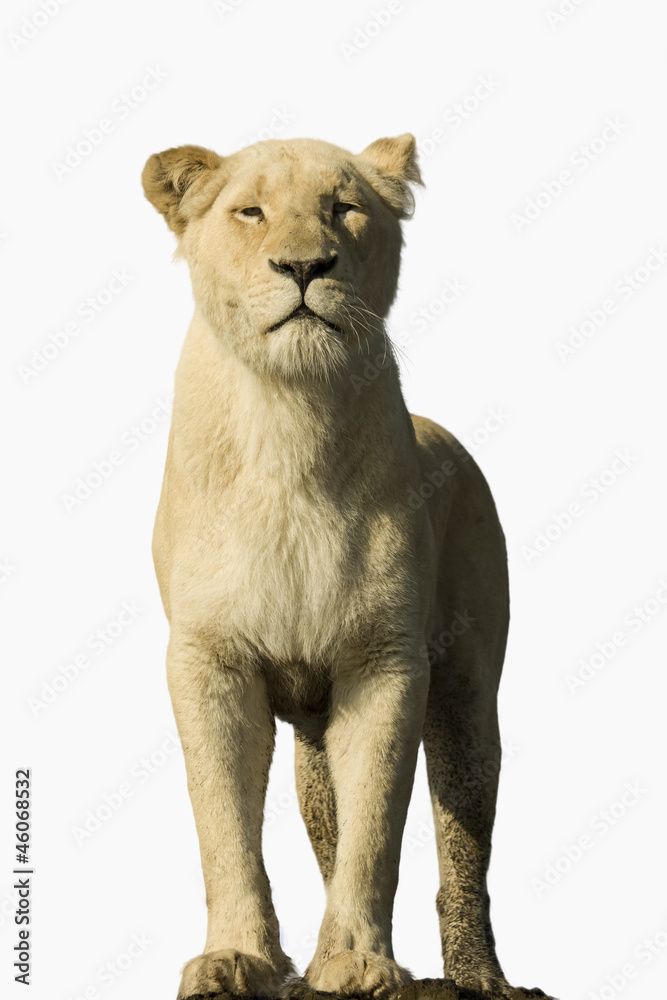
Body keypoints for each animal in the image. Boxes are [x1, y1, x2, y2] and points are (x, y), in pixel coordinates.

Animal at [142, 134, 554, 1000]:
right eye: (251, 211)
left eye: (344, 208)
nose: (305, 266)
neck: (289, 419)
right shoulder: (207, 658)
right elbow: (223, 823)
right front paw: (236, 958)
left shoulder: (385, 661)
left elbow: (378, 829)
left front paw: (360, 963)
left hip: (468, 698)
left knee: (463, 851)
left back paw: (477, 978)